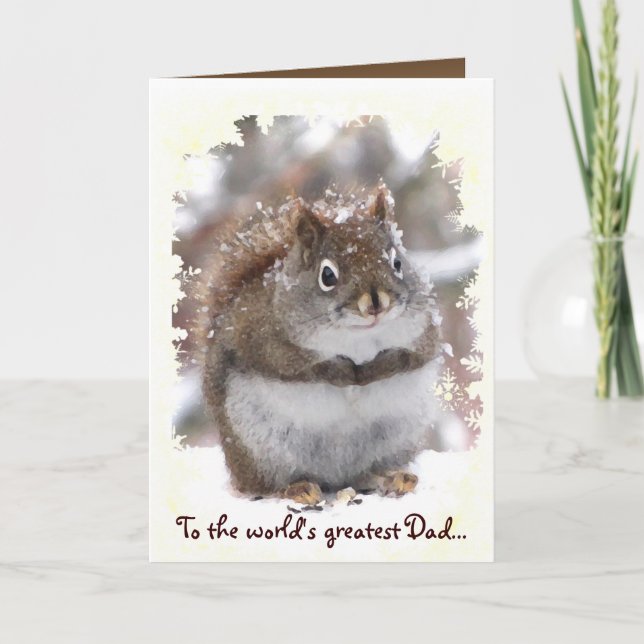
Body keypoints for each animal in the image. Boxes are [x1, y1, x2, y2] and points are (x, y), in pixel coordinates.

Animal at [199, 186, 441, 505]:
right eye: (327, 275)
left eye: (397, 263)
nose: (376, 303)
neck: (358, 337)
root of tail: (334, 478)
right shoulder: (261, 337)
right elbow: (296, 366)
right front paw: (341, 372)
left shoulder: (425, 332)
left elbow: (413, 356)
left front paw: (378, 367)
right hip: (258, 446)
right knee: (263, 484)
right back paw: (295, 488)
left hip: (396, 437)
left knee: (364, 473)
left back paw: (393, 477)